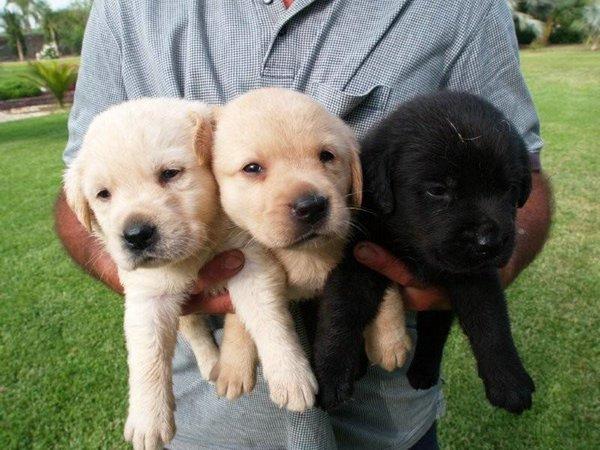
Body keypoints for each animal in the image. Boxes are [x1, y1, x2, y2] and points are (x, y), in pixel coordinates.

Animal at [63, 99, 224, 450]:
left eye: (170, 174)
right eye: (103, 194)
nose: (136, 236)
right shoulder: (148, 295)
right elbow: (148, 354)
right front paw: (149, 420)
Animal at [209, 89, 364, 406]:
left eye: (327, 156)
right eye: (252, 168)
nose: (312, 206)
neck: (303, 254)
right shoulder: (247, 259)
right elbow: (254, 314)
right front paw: (245, 364)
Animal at [314, 91, 536, 414]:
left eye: (509, 189)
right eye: (438, 190)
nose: (489, 242)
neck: (414, 249)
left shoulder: (473, 273)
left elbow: (491, 320)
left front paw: (508, 379)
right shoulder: (357, 256)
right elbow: (341, 311)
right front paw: (330, 374)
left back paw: (423, 371)